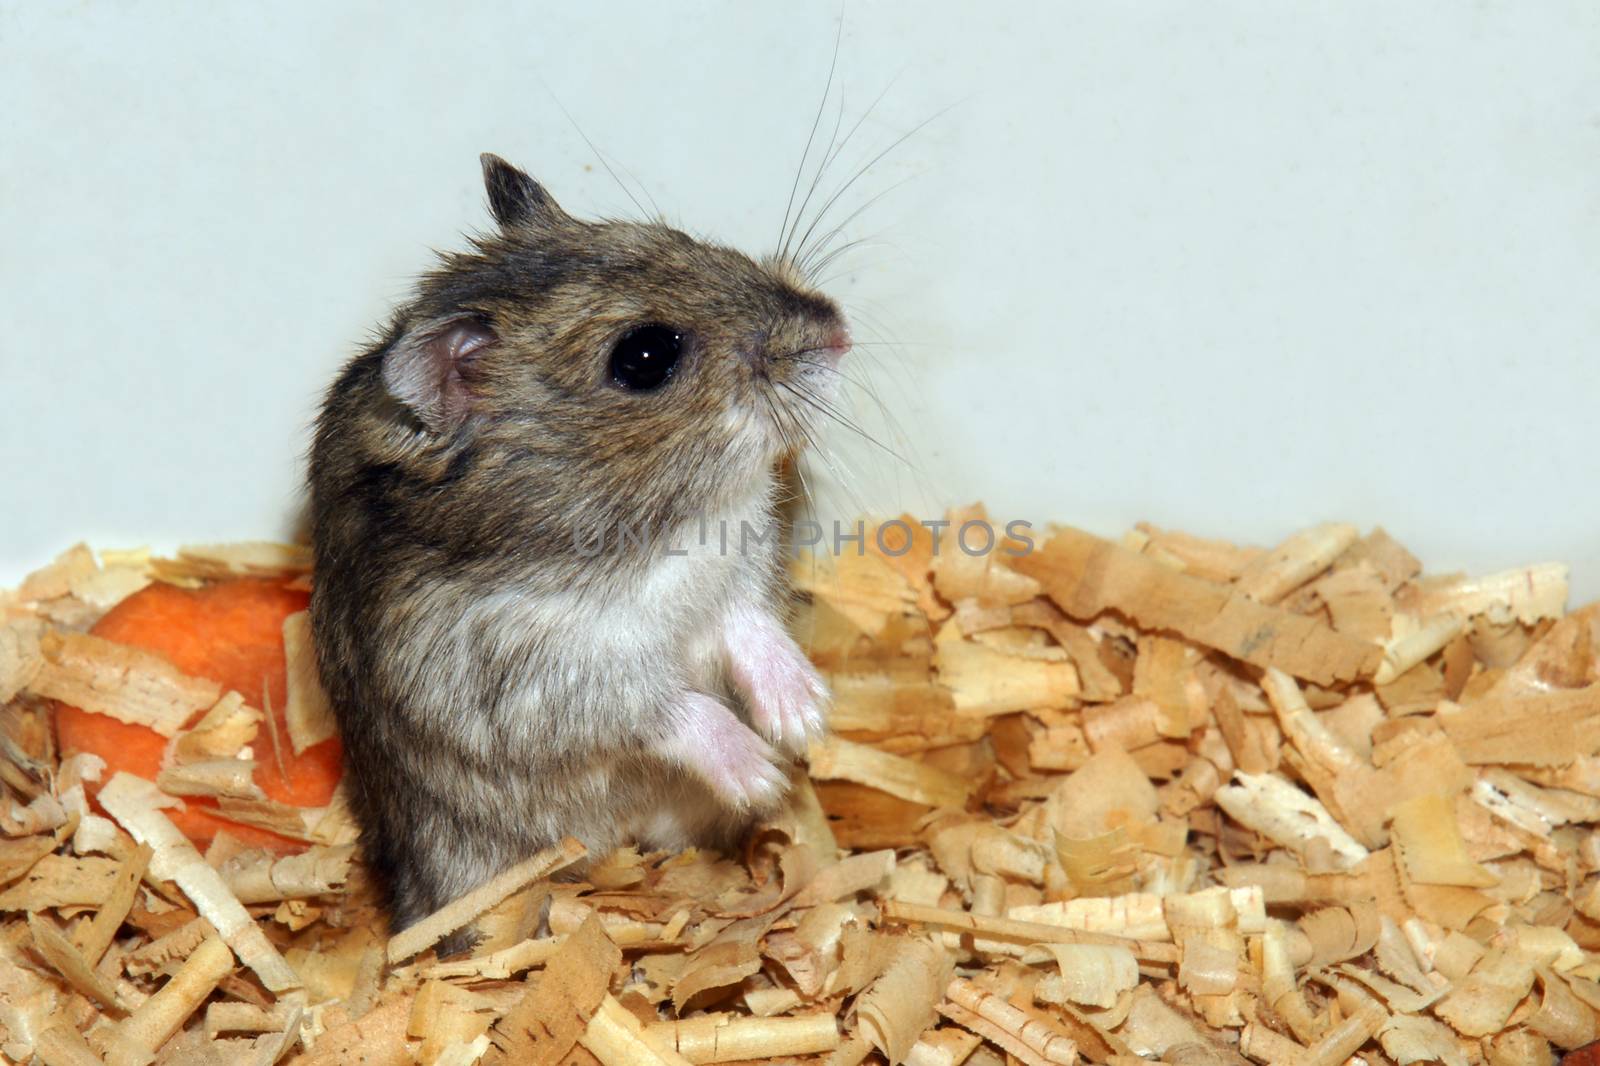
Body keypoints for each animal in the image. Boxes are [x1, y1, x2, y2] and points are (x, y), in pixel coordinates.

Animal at [302, 153, 851, 934]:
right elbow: (672, 709)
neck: (667, 527)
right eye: (645, 357)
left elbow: (750, 627)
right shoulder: (547, 684)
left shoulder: (739, 572)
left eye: (680, 237)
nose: (837, 327)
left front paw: (805, 716)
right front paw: (762, 772)